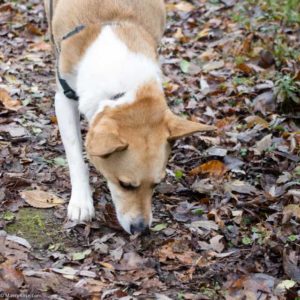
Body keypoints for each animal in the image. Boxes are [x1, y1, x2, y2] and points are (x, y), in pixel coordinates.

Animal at [44, 0, 216, 234]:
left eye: (156, 184)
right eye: (124, 185)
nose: (141, 229)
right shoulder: (64, 98)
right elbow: (75, 155)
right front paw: (81, 201)